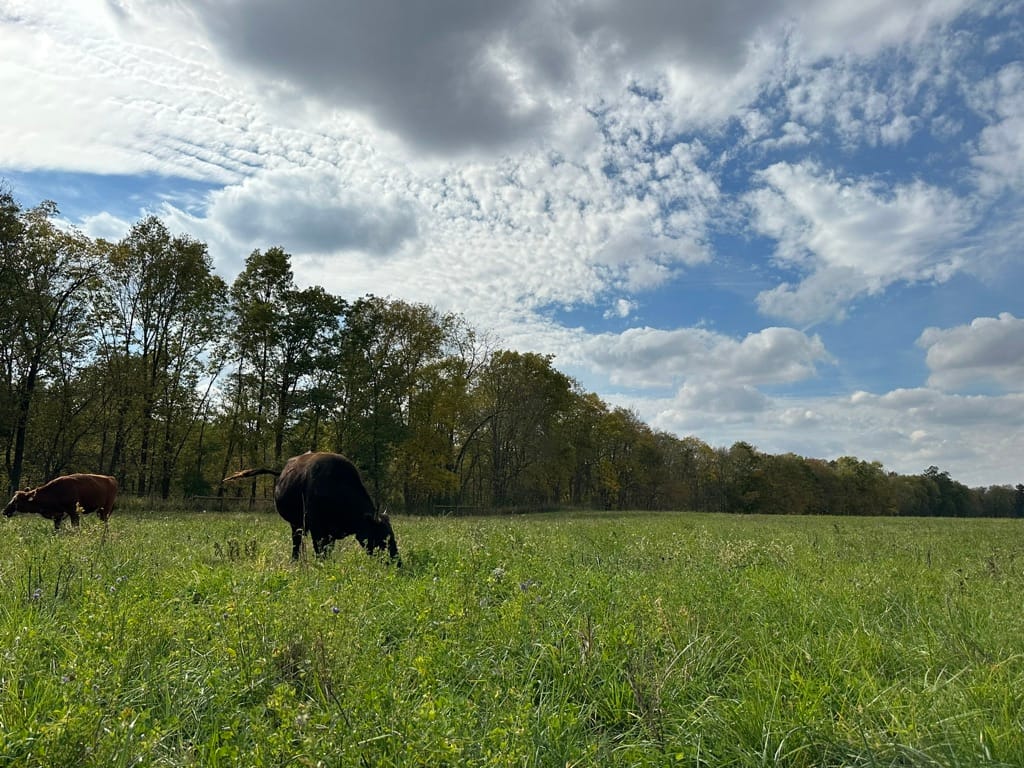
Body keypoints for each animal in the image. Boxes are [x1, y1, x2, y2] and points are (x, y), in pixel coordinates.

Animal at [223, 451, 399, 563]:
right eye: (382, 535)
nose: (396, 562)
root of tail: (282, 471)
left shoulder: (330, 533)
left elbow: (327, 550)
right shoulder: (317, 530)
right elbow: (320, 550)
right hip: (296, 525)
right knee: (296, 543)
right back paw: (294, 561)